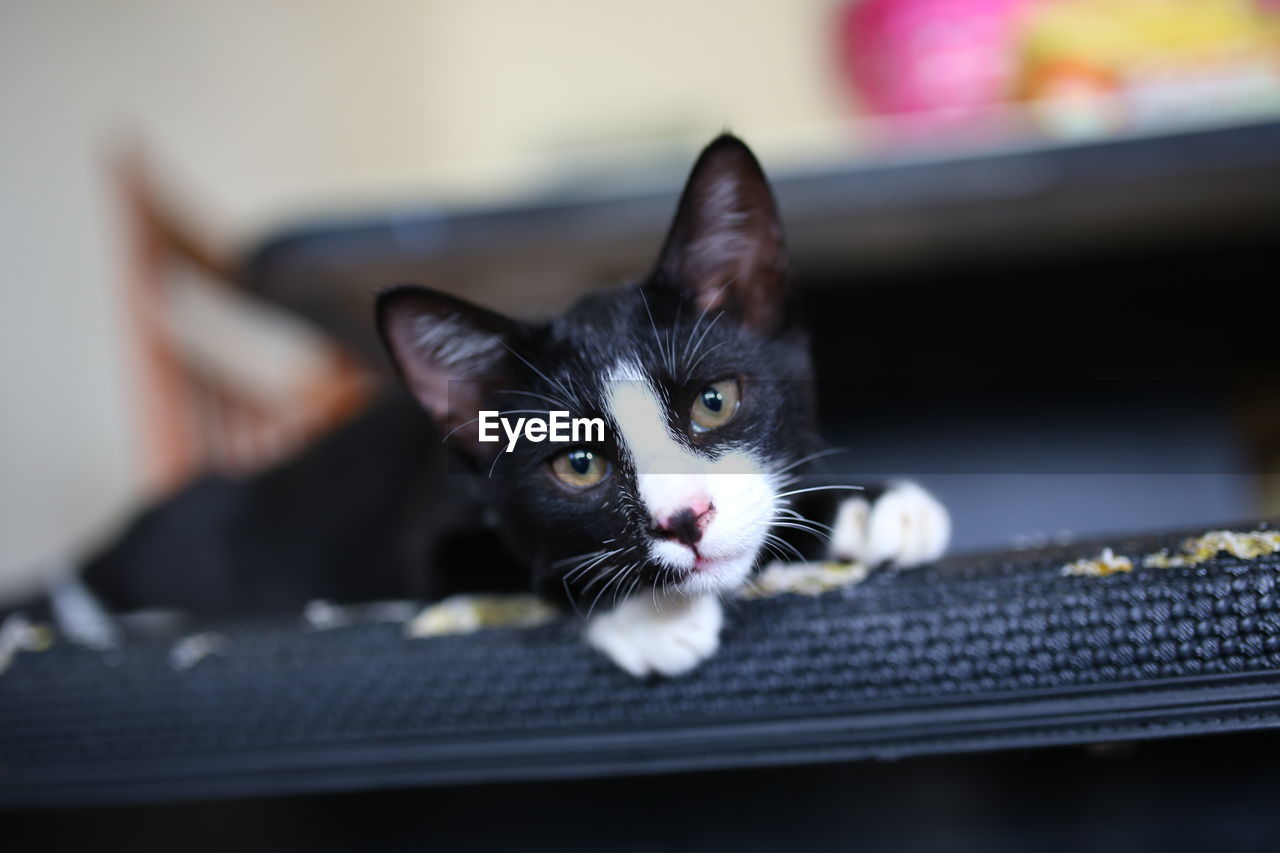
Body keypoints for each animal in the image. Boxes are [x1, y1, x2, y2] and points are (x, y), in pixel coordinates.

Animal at [55, 136, 947, 676]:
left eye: (715, 402)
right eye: (577, 463)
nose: (684, 519)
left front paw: (870, 506)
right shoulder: (423, 542)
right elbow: (527, 563)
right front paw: (651, 614)